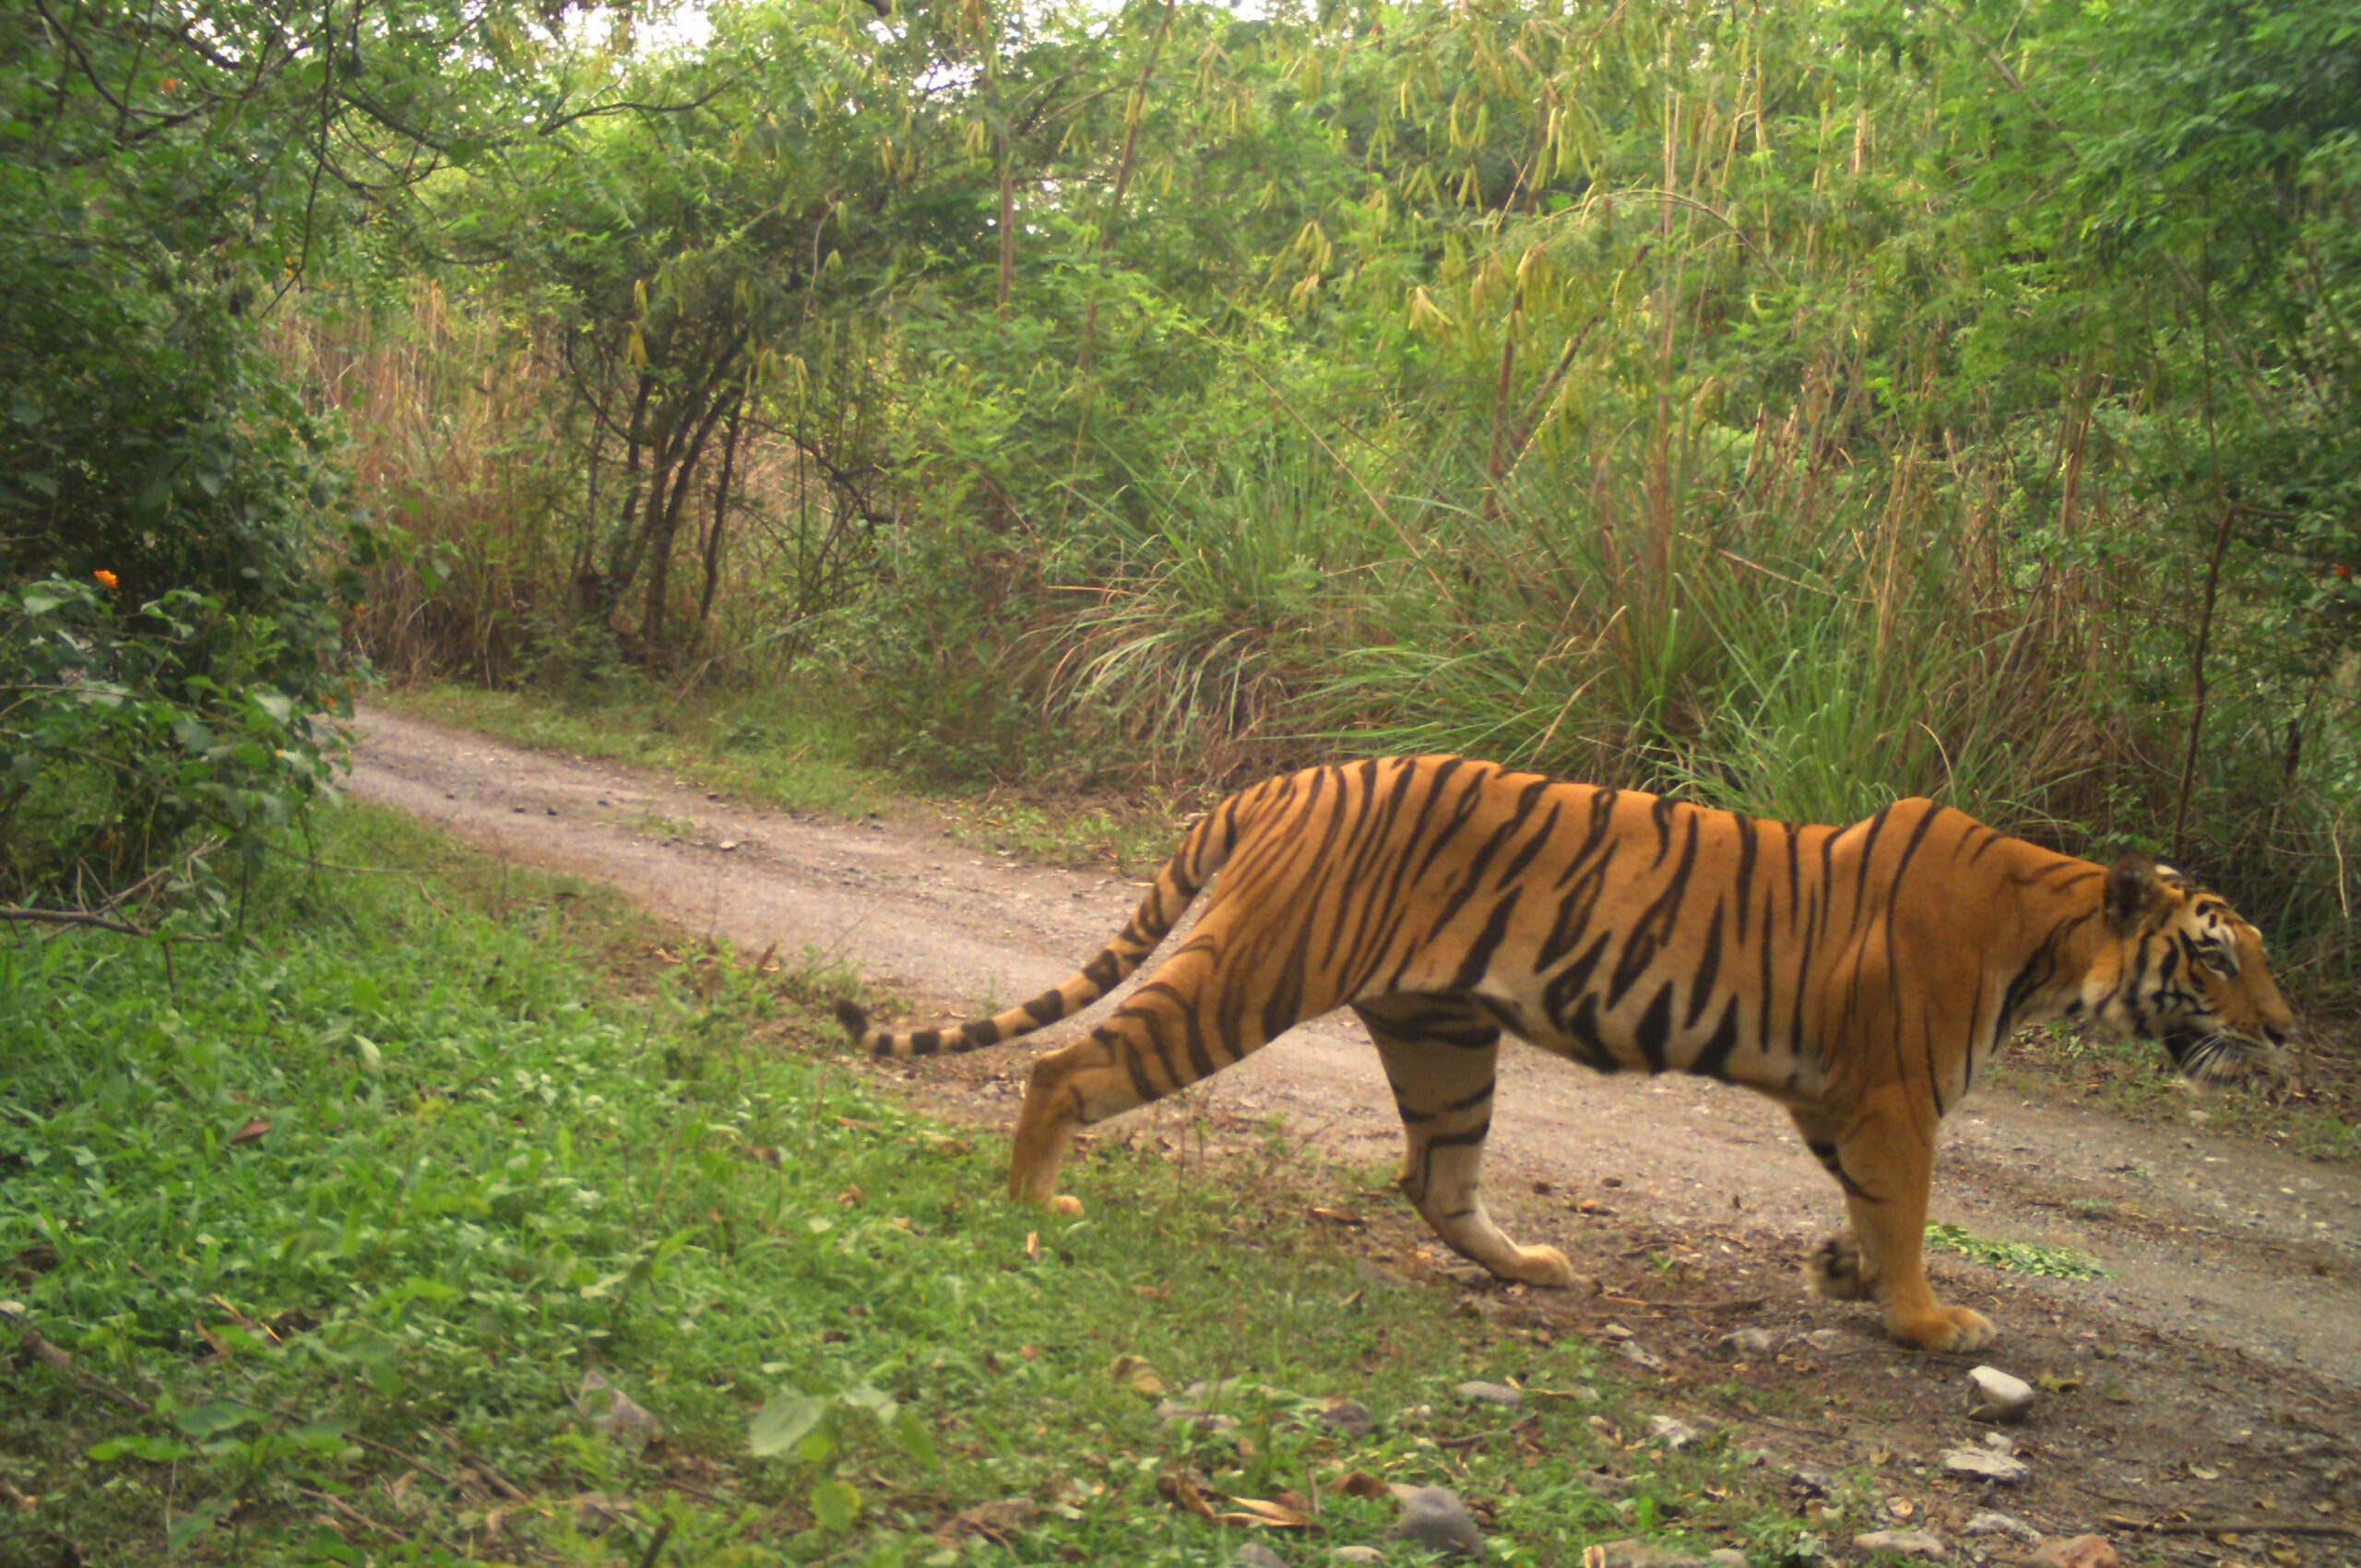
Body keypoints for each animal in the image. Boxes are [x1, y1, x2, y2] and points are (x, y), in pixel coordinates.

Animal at [836, 755, 2285, 1350]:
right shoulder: (1891, 1096)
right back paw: (1039, 1203)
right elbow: (1912, 1215)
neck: (2048, 936)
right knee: (1066, 1068)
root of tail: (1281, 779)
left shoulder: (1839, 1100)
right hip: (1253, 978)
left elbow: (1870, 1210)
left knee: (1433, 1179)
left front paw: (1843, 1272)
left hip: (1442, 1036)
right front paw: (1928, 1320)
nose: (2284, 1033)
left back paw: (1531, 1266)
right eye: (2217, 957)